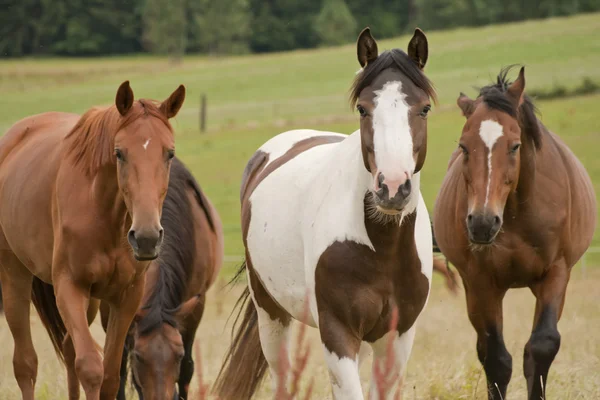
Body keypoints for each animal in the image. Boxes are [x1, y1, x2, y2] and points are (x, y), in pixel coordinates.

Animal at [0, 82, 185, 400]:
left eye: (169, 153)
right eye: (119, 153)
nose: (146, 238)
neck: (103, 212)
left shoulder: (126, 296)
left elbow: (109, 375)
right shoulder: (70, 287)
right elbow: (90, 368)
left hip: (92, 301)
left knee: (67, 347)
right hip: (14, 276)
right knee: (25, 363)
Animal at [214, 26, 436, 398]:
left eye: (424, 108)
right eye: (363, 109)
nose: (392, 187)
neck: (382, 247)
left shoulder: (397, 338)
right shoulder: (337, 333)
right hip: (270, 314)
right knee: (281, 377)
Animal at [432, 65, 596, 400]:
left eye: (515, 145)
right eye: (464, 146)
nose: (482, 223)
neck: (518, 213)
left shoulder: (557, 272)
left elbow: (542, 346)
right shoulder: (481, 282)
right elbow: (496, 359)